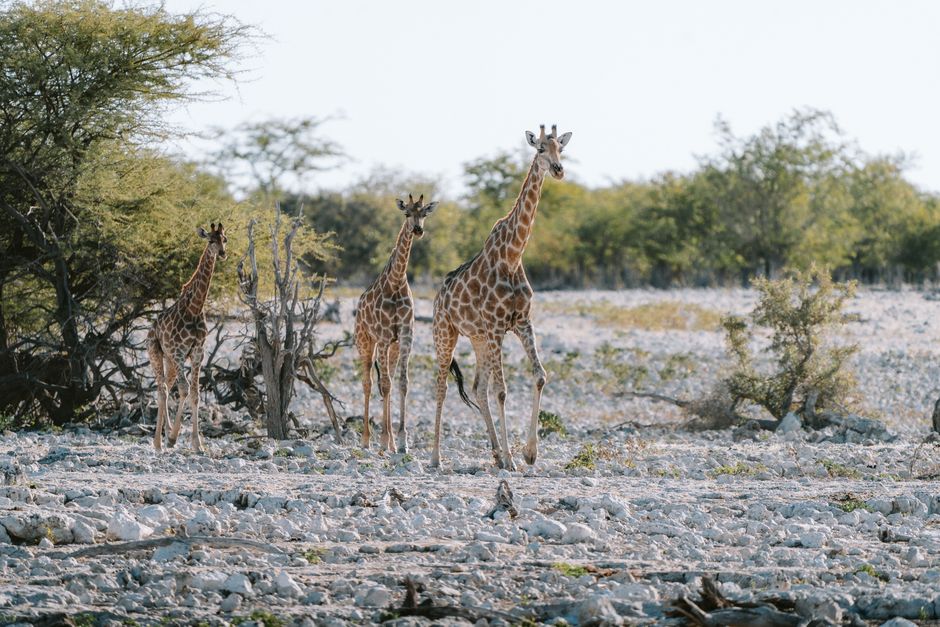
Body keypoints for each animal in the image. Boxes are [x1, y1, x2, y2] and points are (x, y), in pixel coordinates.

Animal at [147, 222, 227, 452]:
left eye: (224, 239)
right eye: (210, 240)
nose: (222, 253)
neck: (195, 308)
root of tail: (151, 329)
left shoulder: (197, 353)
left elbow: (195, 394)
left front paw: (197, 444)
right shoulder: (179, 352)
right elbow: (184, 390)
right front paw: (174, 437)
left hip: (170, 361)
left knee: (166, 386)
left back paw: (164, 436)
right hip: (156, 353)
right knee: (163, 389)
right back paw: (158, 442)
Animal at [354, 194, 439, 453]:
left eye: (424, 213)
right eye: (406, 213)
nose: (418, 230)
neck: (396, 281)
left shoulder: (405, 335)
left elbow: (402, 383)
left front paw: (401, 441)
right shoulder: (382, 336)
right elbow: (384, 384)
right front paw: (383, 440)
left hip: (391, 347)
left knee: (387, 382)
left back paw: (389, 441)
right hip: (365, 342)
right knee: (369, 383)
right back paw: (367, 440)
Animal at [430, 124, 572, 470]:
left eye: (561, 149)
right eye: (540, 150)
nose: (558, 170)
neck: (512, 255)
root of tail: (438, 297)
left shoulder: (520, 322)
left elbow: (540, 376)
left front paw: (529, 453)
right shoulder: (497, 328)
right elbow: (503, 391)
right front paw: (512, 458)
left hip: (478, 338)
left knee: (477, 388)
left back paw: (494, 452)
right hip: (446, 333)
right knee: (441, 386)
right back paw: (436, 457)